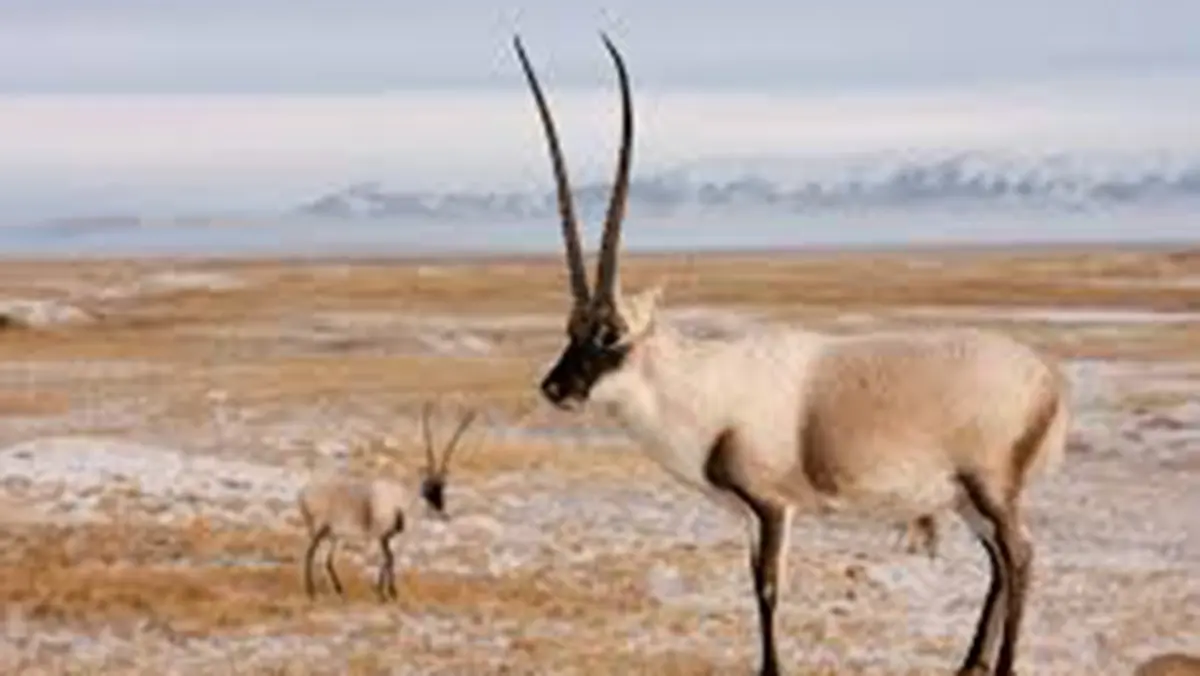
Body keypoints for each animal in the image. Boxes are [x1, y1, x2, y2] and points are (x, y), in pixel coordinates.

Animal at [298, 401, 478, 601]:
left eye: (442, 488)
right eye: (428, 487)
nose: (442, 512)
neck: (402, 500)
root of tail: (304, 492)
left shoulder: (389, 538)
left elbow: (389, 560)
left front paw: (385, 592)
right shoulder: (382, 535)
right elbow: (388, 559)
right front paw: (387, 593)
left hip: (333, 534)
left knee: (327, 559)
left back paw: (338, 589)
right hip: (321, 528)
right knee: (310, 552)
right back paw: (311, 591)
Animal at [513, 34, 1070, 676]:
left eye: (611, 334)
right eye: (571, 329)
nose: (556, 389)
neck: (705, 387)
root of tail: (1049, 381)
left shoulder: (774, 506)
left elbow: (768, 588)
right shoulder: (747, 517)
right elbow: (753, 584)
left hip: (989, 489)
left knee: (1020, 557)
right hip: (966, 499)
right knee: (1000, 565)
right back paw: (969, 665)